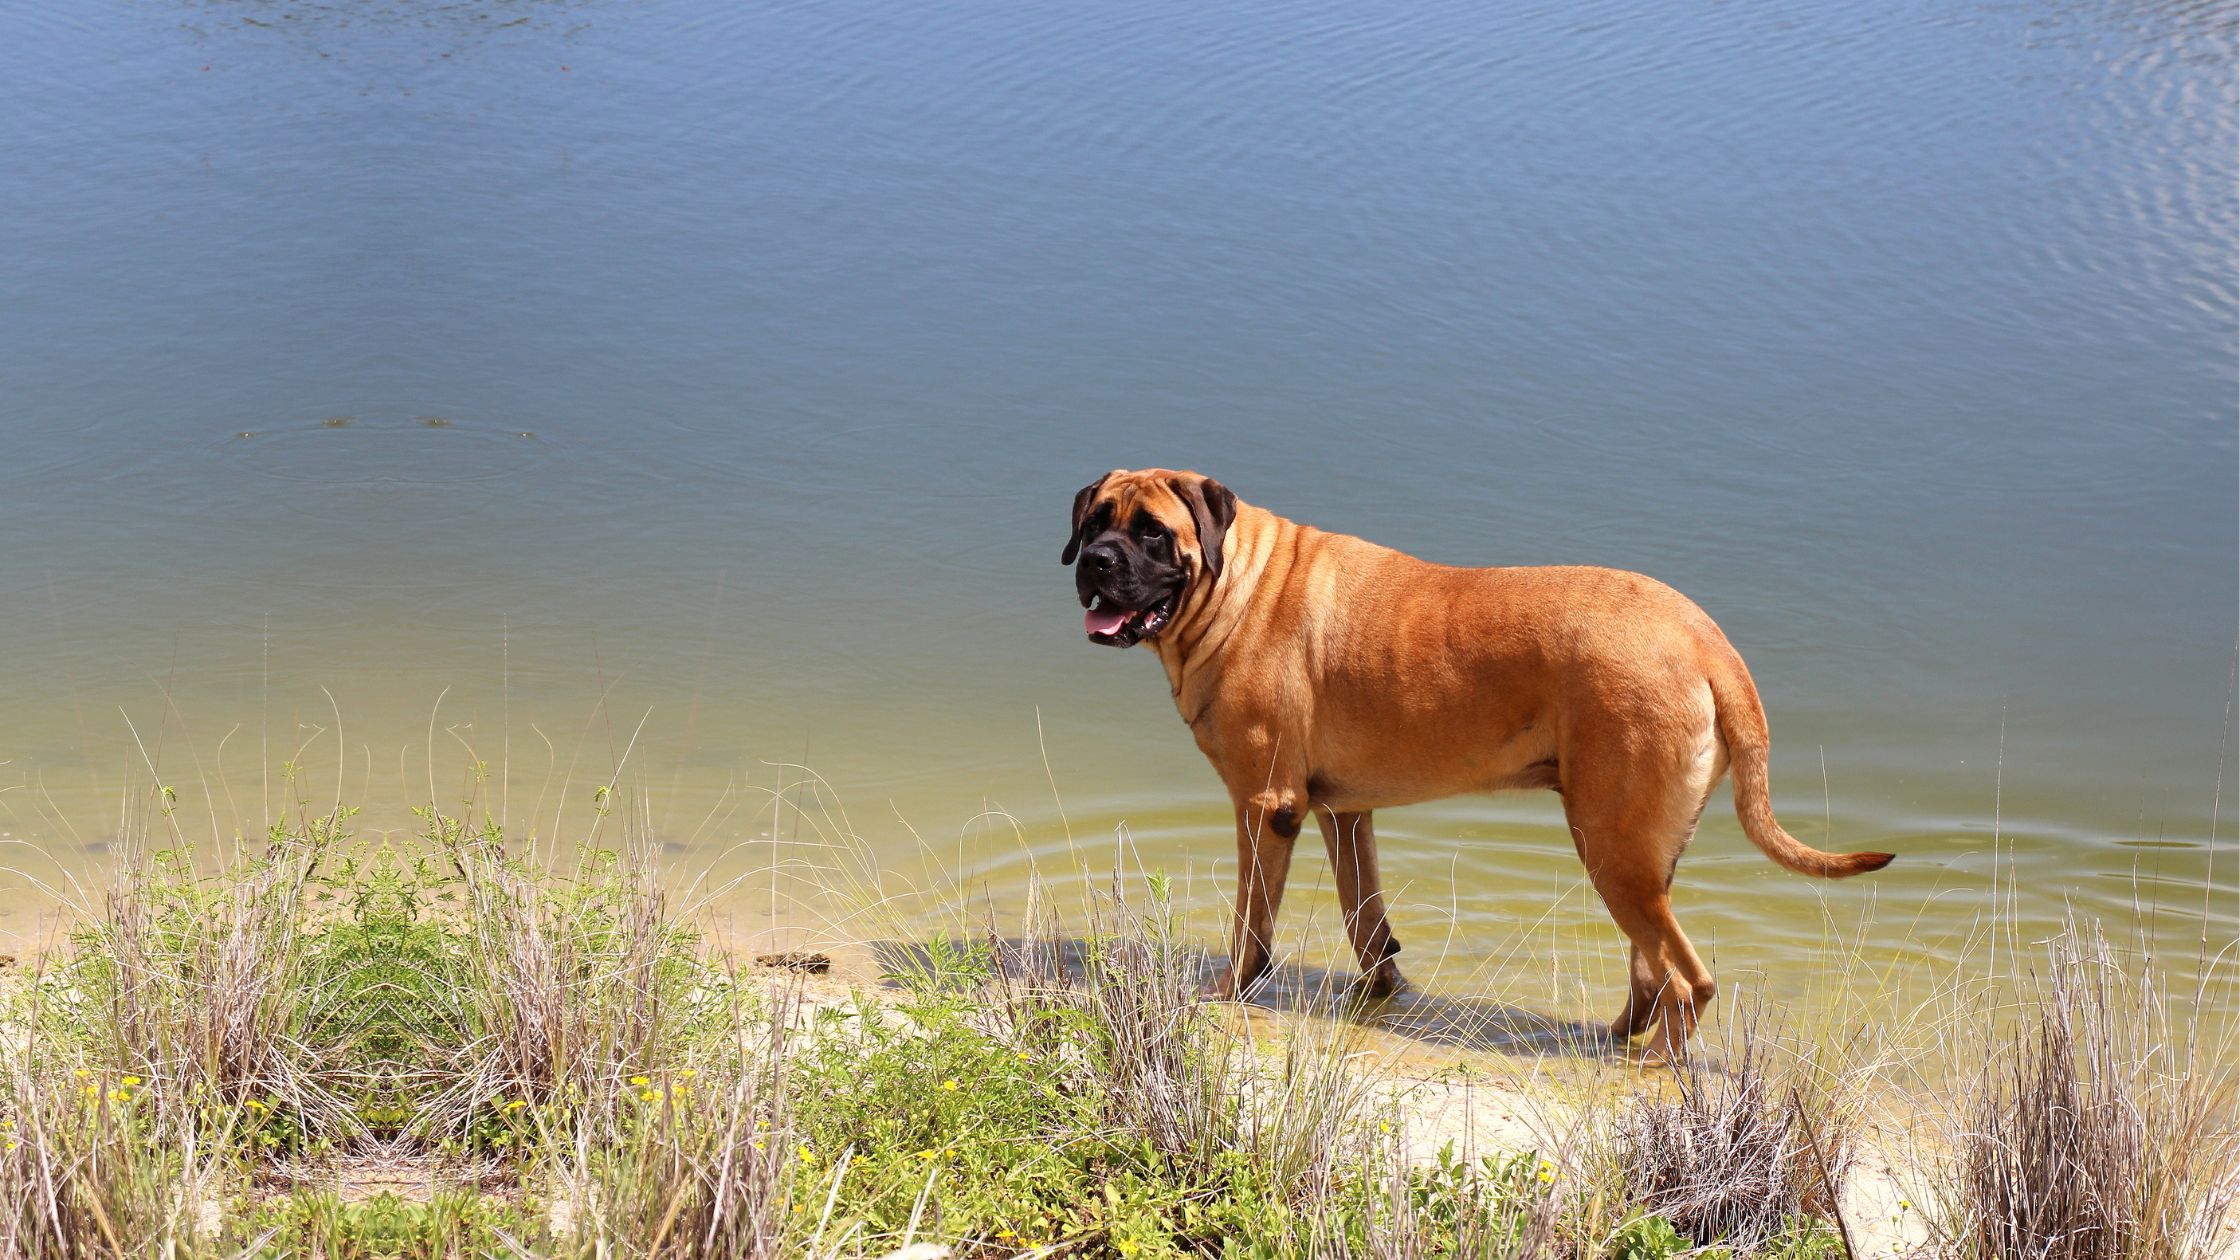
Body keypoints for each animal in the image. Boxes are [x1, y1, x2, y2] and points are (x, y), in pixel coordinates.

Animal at [1066, 466, 1890, 1053]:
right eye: (1095, 522)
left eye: (1152, 533)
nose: (1095, 563)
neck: (1234, 586)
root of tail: (1709, 644)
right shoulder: (1344, 812)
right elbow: (1366, 921)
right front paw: (1382, 991)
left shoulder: (1267, 807)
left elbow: (1251, 928)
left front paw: (1228, 993)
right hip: (1643, 853)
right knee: (1651, 972)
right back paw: (1608, 1040)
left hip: (1610, 844)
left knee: (1689, 981)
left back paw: (1656, 1070)